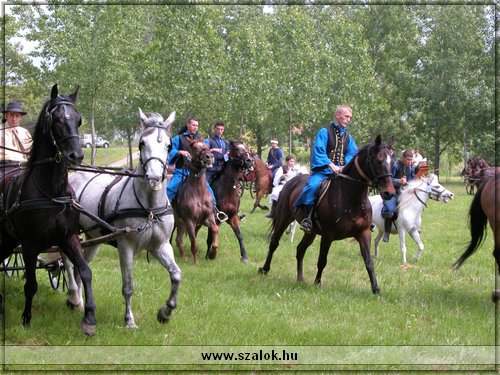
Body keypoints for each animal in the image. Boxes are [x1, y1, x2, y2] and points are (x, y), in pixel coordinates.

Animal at [0, 83, 96, 336]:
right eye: (57, 119)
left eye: (79, 120)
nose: (76, 155)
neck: (51, 192)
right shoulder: (30, 244)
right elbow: (31, 284)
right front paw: (26, 318)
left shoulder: (68, 237)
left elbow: (85, 272)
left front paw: (89, 319)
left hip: (8, 239)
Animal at [62, 108, 180, 328]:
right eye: (142, 142)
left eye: (169, 145)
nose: (153, 178)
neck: (150, 208)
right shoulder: (126, 246)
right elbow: (128, 285)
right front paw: (129, 320)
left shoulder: (160, 246)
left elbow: (176, 275)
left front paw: (165, 312)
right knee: (67, 261)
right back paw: (73, 296)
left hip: (93, 240)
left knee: (81, 266)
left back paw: (79, 301)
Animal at [260, 135, 396, 294]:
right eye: (378, 161)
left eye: (393, 162)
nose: (389, 193)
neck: (351, 199)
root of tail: (290, 181)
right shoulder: (327, 235)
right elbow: (322, 260)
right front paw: (317, 283)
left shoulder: (363, 233)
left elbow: (369, 261)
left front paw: (376, 289)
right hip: (284, 219)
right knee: (274, 243)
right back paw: (264, 269)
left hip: (310, 232)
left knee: (300, 250)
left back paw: (300, 278)